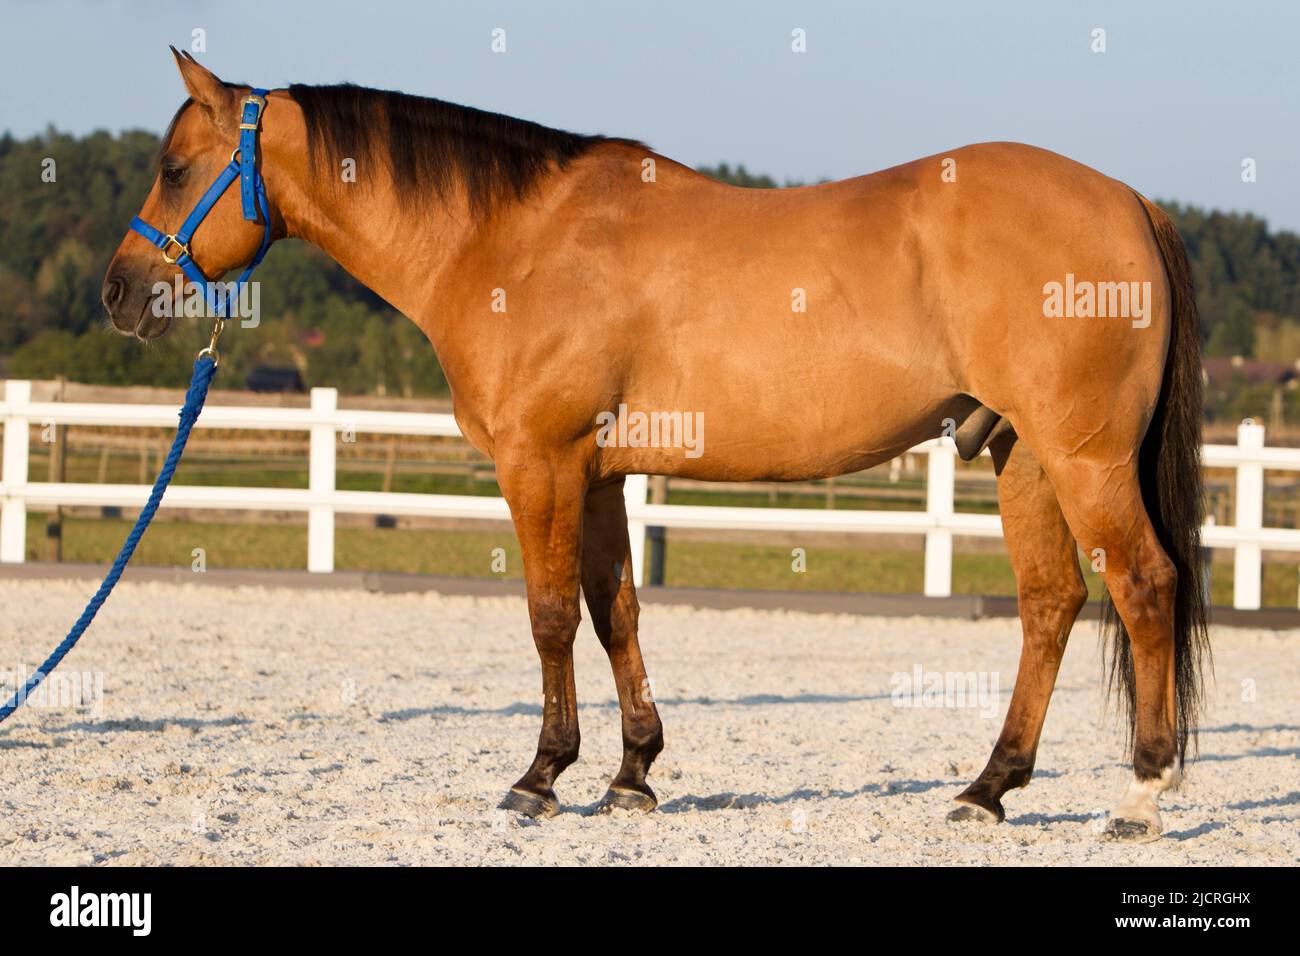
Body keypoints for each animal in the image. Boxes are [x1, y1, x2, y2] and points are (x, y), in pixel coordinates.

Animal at [101, 50, 1206, 842]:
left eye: (174, 167)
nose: (118, 292)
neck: (509, 240)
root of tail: (1129, 201)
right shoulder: (598, 476)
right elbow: (614, 610)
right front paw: (633, 772)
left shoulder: (538, 463)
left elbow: (548, 616)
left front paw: (540, 776)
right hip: (1023, 455)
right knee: (1051, 604)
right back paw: (987, 787)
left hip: (1084, 457)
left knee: (1144, 586)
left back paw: (1141, 794)